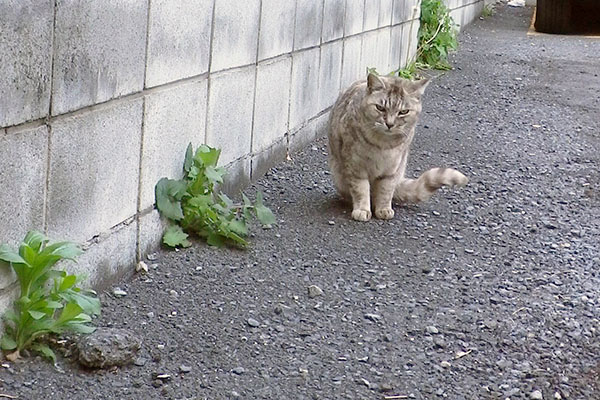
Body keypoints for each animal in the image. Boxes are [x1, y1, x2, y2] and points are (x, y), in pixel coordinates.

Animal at [328, 72, 468, 222]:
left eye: (403, 111)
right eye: (380, 108)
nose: (389, 124)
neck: (382, 144)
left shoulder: (392, 169)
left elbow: (386, 190)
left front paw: (383, 208)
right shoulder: (356, 166)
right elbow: (360, 189)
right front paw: (362, 209)